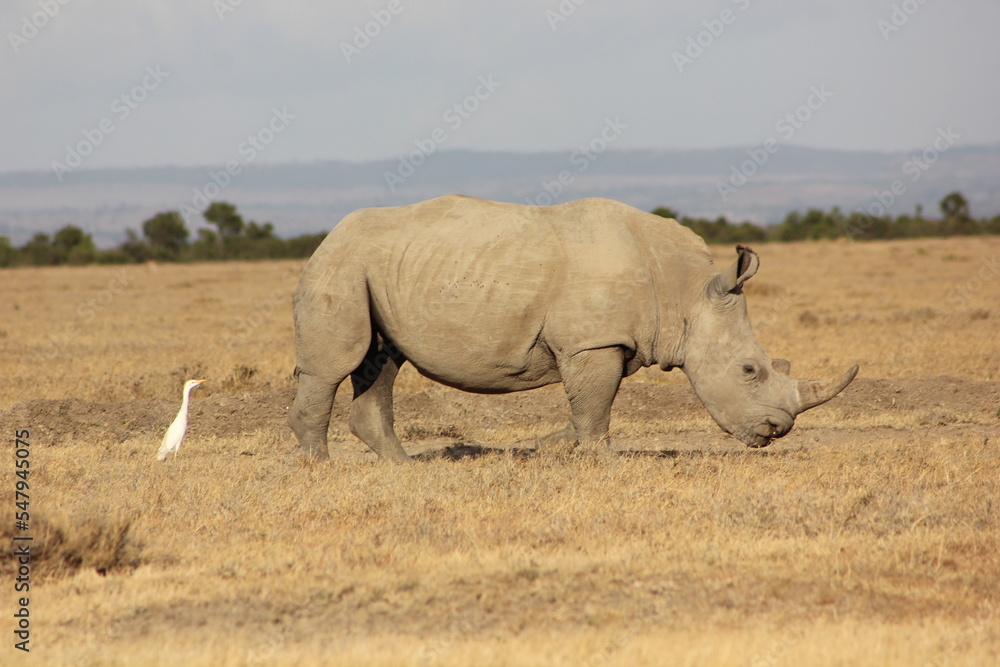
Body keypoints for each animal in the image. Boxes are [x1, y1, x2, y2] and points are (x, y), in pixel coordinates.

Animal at [289, 195, 857, 462]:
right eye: (749, 371)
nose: (777, 430)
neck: (686, 293)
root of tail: (330, 233)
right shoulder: (594, 340)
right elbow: (596, 406)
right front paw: (605, 462)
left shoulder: (607, 341)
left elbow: (589, 407)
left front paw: (547, 447)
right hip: (341, 263)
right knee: (337, 364)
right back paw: (321, 469)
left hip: (377, 267)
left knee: (383, 360)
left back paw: (404, 468)